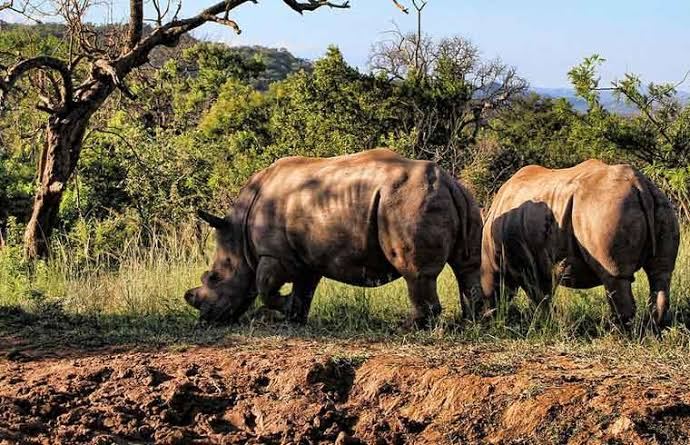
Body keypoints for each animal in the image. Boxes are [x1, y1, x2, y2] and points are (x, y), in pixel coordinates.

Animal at [185, 148, 483, 327]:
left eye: (214, 278)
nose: (207, 318)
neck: (238, 233)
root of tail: (447, 181)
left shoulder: (273, 253)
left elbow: (264, 288)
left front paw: (285, 308)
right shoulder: (307, 256)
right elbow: (304, 289)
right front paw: (293, 317)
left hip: (408, 202)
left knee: (416, 273)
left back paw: (411, 327)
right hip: (464, 199)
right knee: (467, 265)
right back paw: (474, 321)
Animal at [481, 159, 679, 329]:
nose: (486, 317)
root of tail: (639, 185)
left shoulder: (525, 265)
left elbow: (539, 296)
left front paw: (545, 323)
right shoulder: (540, 263)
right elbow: (544, 295)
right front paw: (548, 322)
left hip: (605, 210)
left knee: (615, 276)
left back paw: (619, 331)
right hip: (662, 204)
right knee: (661, 273)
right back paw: (654, 327)